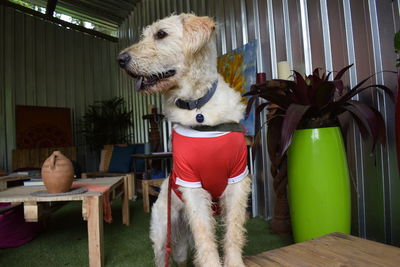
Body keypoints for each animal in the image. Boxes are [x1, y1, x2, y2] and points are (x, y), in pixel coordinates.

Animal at [117, 14, 252, 267]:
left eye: (161, 34)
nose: (120, 60)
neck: (198, 109)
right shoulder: (191, 183)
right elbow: (205, 235)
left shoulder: (237, 179)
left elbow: (234, 231)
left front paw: (234, 262)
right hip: (163, 235)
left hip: (180, 246)